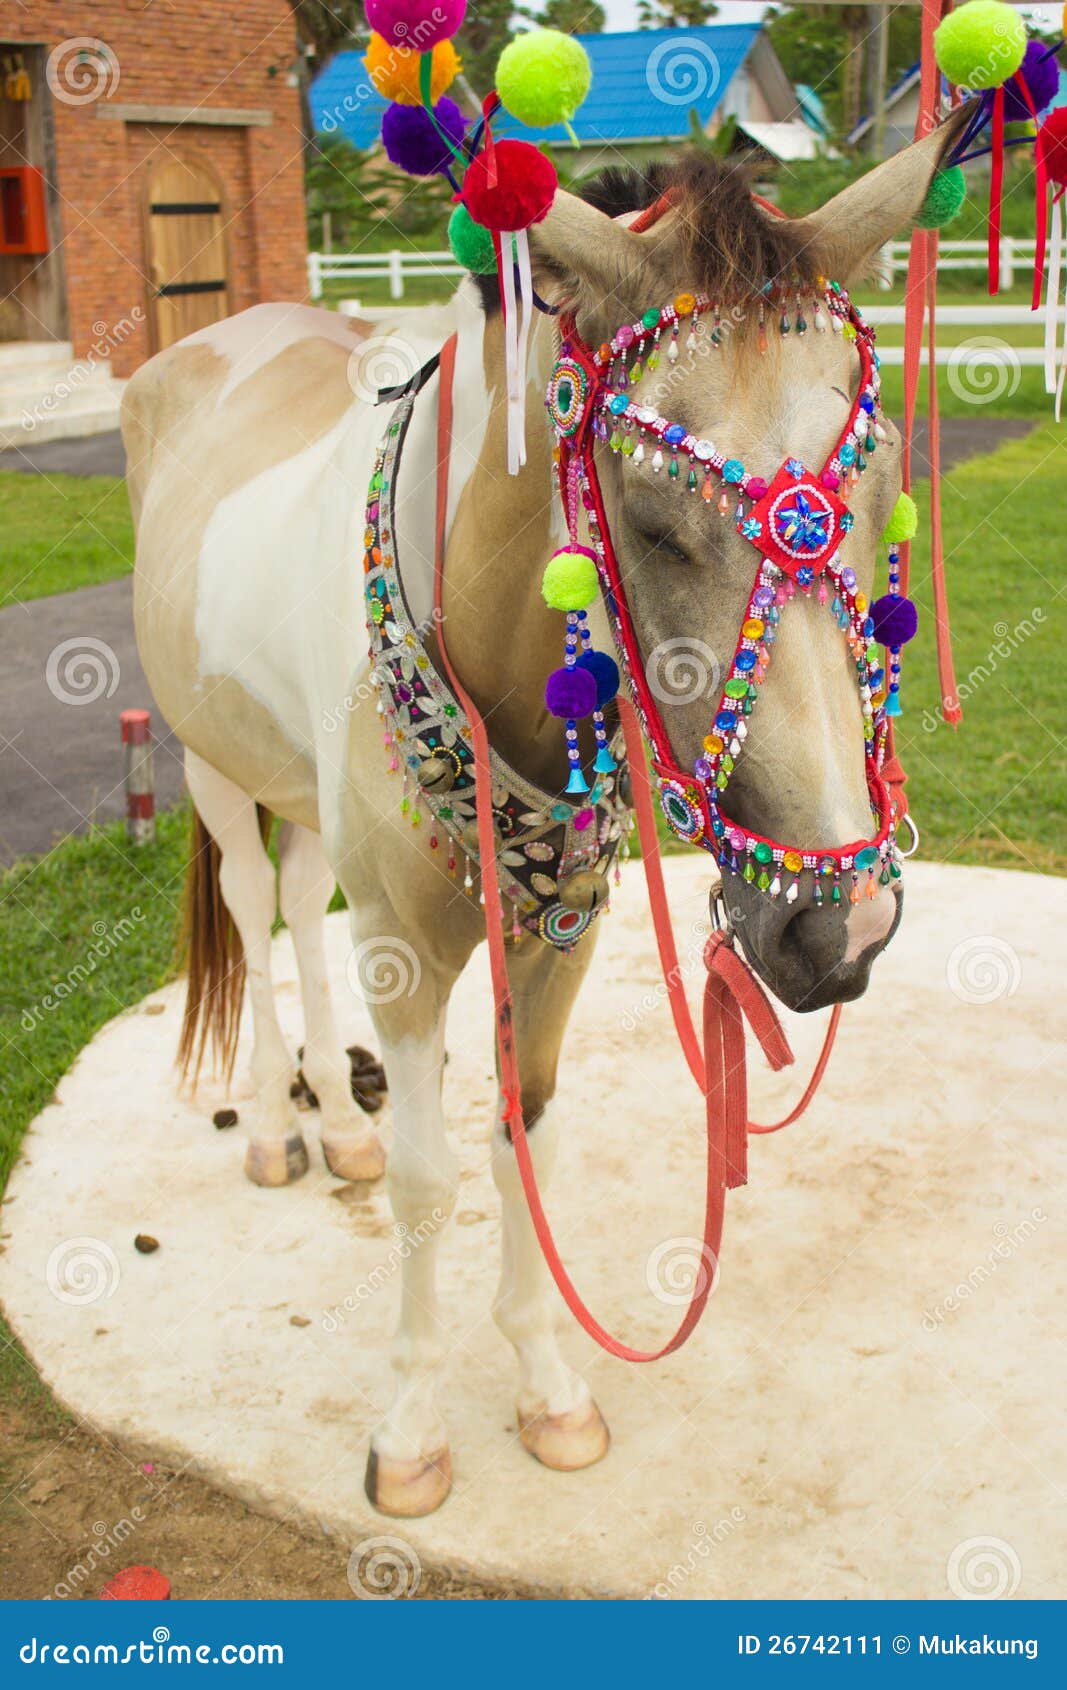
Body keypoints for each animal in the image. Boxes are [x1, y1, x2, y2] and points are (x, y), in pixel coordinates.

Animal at [123, 122, 959, 1519]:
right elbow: (430, 1178)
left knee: (294, 901)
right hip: (204, 759)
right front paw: (409, 1431)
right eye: (653, 523)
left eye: (879, 486)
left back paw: (334, 1122)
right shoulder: (403, 946)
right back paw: (283, 1129)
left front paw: (548, 1387)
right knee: (247, 902)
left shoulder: (558, 933)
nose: (836, 928)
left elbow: (527, 1143)